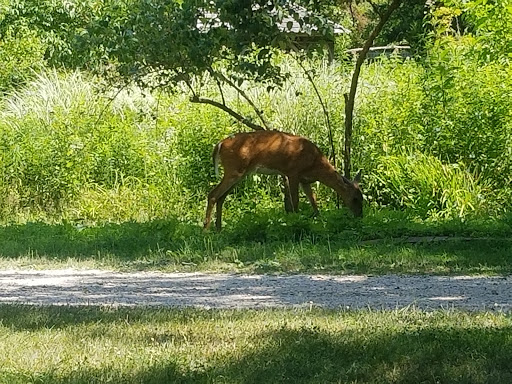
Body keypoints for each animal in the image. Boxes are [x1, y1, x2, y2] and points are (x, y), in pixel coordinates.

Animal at [204, 131, 364, 231]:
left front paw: (320, 221)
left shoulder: (305, 180)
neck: (315, 163)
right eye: (355, 199)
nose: (359, 216)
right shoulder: (292, 173)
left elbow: (313, 200)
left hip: (240, 173)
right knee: (213, 194)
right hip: (234, 170)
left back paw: (219, 228)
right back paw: (206, 230)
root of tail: (220, 144)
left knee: (221, 197)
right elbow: (295, 201)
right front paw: (296, 222)